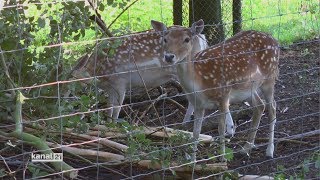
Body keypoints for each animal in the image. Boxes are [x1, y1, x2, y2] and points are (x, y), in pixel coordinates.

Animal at [70, 26, 208, 122]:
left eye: (72, 89)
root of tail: (203, 40)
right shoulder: (110, 88)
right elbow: (109, 107)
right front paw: (107, 123)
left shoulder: (120, 81)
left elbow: (117, 108)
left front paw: (113, 125)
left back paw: (186, 122)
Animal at [151, 19, 278, 160]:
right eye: (165, 39)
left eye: (187, 39)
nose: (169, 56)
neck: (199, 84)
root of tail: (274, 40)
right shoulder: (198, 105)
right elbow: (196, 133)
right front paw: (192, 161)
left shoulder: (223, 96)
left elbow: (221, 129)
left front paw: (222, 158)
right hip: (249, 88)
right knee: (260, 106)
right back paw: (246, 148)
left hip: (269, 78)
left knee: (272, 108)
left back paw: (269, 150)